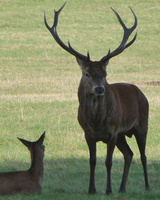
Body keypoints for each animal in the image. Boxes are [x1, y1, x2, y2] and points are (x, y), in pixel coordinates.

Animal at [44, 2, 150, 194]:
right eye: (87, 74)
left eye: (105, 74)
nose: (100, 89)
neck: (95, 122)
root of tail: (140, 92)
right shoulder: (88, 133)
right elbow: (92, 161)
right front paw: (91, 189)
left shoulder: (113, 131)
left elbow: (108, 162)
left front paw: (108, 190)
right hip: (123, 134)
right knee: (129, 154)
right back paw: (122, 188)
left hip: (142, 124)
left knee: (143, 155)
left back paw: (146, 186)